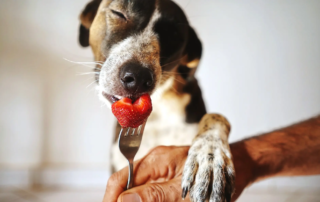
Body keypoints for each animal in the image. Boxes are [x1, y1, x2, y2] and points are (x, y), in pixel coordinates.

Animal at [78, 0, 234, 201]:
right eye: (118, 13)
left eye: (174, 35)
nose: (138, 77)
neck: (159, 109)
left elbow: (216, 117)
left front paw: (210, 157)